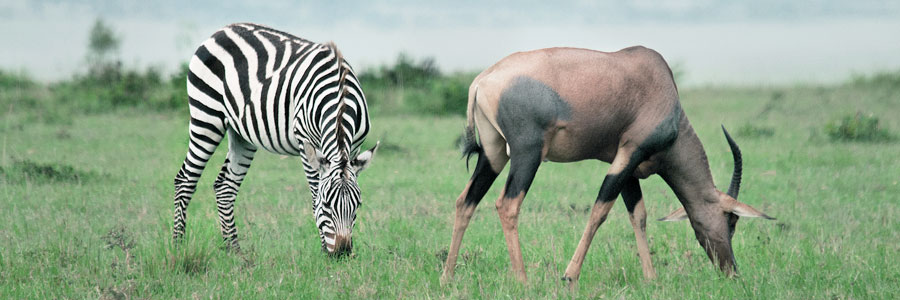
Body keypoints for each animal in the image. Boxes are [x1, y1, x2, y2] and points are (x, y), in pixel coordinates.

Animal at [173, 22, 380, 254]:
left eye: (358, 204)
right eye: (326, 204)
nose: (342, 252)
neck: (339, 96)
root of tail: (222, 30)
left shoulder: (354, 147)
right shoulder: (305, 142)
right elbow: (314, 196)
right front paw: (322, 249)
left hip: (241, 134)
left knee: (225, 186)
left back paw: (234, 251)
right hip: (206, 117)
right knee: (185, 180)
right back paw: (178, 246)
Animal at [442, 45, 772, 284]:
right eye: (732, 220)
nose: (731, 271)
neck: (659, 83)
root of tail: (482, 81)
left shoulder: (628, 167)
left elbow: (638, 215)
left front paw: (651, 279)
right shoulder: (630, 154)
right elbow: (600, 211)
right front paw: (569, 276)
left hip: (494, 153)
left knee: (465, 201)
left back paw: (448, 276)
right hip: (527, 154)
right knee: (508, 205)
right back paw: (522, 280)